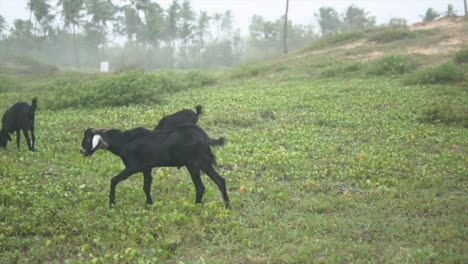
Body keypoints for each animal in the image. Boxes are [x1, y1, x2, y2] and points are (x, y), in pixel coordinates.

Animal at [82, 124, 232, 208]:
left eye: (88, 139)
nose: (81, 151)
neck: (124, 141)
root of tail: (205, 137)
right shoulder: (146, 168)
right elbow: (146, 187)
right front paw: (149, 205)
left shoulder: (132, 168)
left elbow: (114, 180)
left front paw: (111, 203)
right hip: (203, 163)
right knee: (220, 181)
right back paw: (227, 206)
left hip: (193, 164)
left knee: (200, 187)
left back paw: (196, 207)